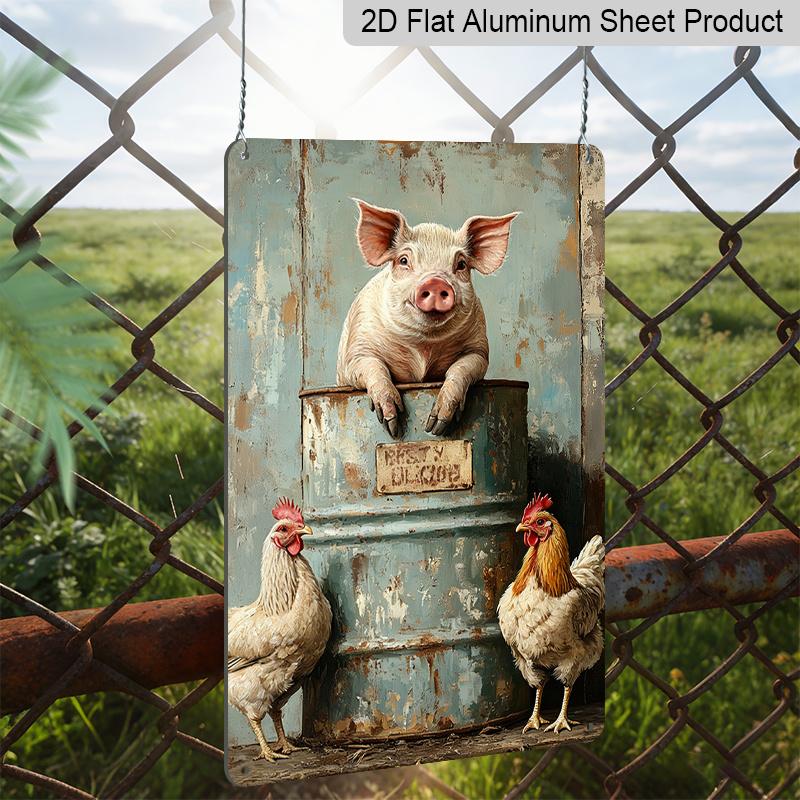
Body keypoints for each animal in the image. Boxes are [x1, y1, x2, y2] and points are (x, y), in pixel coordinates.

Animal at [336, 198, 518, 438]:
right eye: (404, 260)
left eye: (461, 264)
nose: (435, 282)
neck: (423, 347)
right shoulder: (356, 349)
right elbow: (373, 366)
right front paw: (394, 427)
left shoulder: (479, 348)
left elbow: (462, 368)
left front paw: (435, 427)